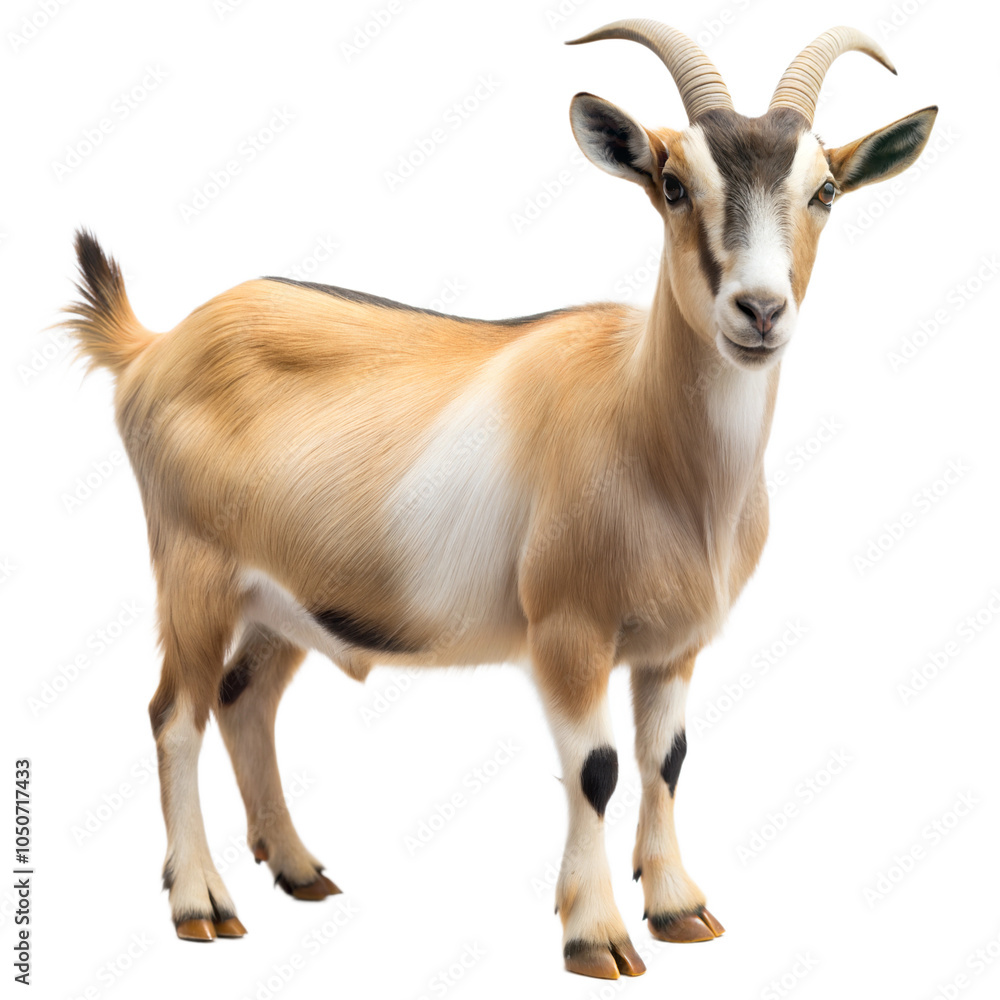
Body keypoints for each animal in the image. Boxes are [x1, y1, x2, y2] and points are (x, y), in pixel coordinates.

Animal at [63, 20, 936, 980]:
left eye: (825, 190)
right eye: (673, 184)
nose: (759, 310)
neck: (642, 422)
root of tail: (151, 346)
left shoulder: (674, 646)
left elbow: (666, 759)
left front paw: (679, 909)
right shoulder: (567, 629)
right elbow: (597, 769)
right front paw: (596, 937)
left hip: (283, 599)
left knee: (242, 700)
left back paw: (299, 870)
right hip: (195, 573)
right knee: (173, 716)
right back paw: (202, 904)